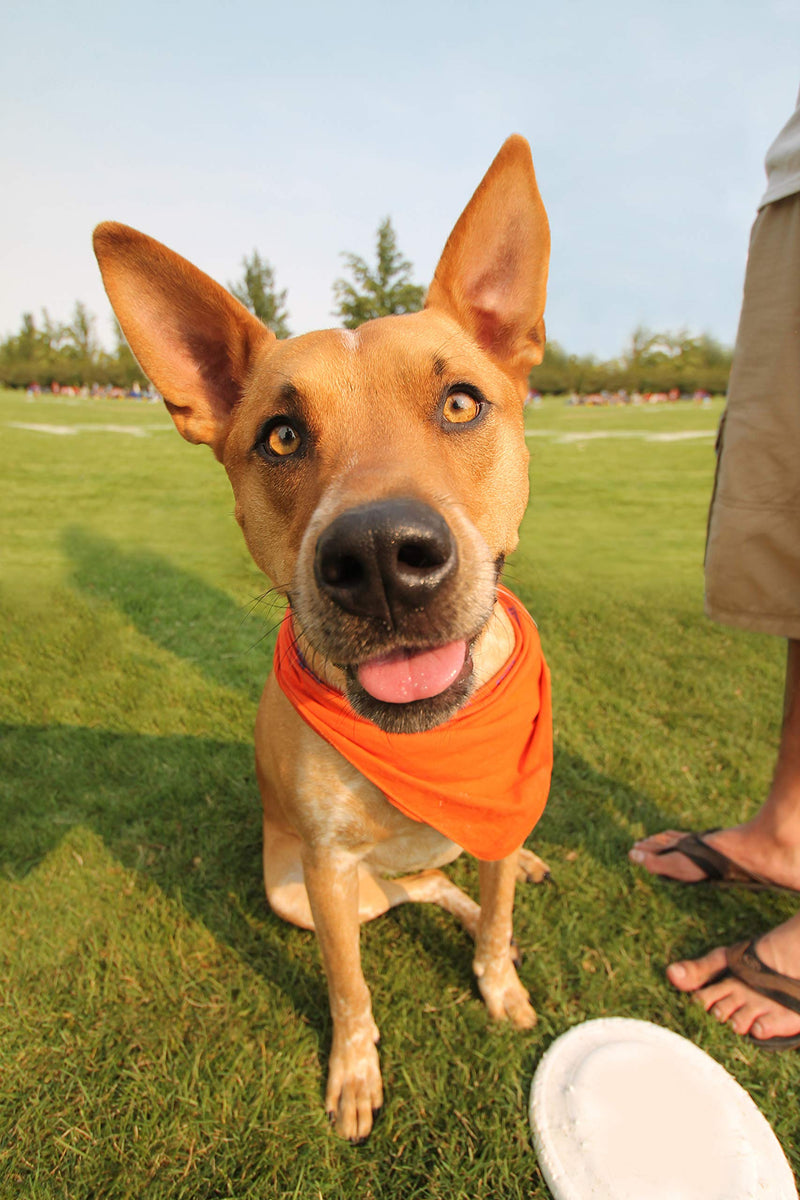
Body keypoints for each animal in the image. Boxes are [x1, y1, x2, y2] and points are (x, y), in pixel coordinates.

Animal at [95, 136, 551, 1137]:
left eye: (462, 403)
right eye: (280, 435)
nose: (381, 556)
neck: (426, 747)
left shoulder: (495, 809)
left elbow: (499, 914)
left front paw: (499, 985)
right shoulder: (331, 876)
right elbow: (350, 990)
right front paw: (353, 1072)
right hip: (295, 889)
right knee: (420, 890)